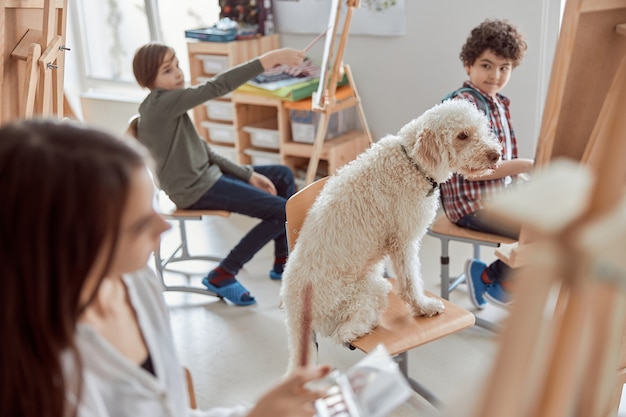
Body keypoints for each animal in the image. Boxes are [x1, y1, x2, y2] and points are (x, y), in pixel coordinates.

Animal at [280, 99, 500, 368]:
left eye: (482, 129)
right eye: (462, 135)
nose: (496, 154)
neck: (412, 162)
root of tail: (294, 313)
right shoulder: (404, 242)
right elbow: (410, 283)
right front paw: (423, 307)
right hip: (369, 289)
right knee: (343, 334)